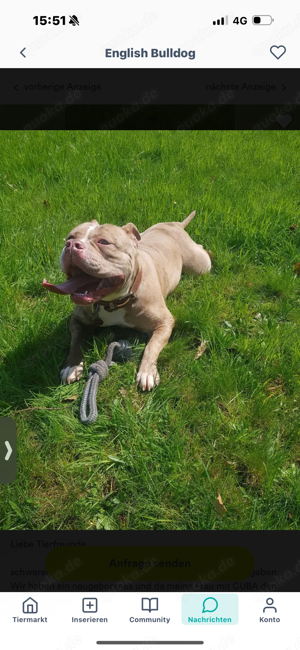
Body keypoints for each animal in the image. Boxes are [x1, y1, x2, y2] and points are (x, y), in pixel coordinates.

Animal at [42, 211, 211, 390]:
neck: (113, 302)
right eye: (70, 237)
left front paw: (147, 372)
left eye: (103, 242)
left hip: (200, 267)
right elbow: (76, 341)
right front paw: (72, 365)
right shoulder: (77, 320)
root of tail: (176, 225)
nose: (72, 244)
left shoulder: (164, 323)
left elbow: (151, 346)